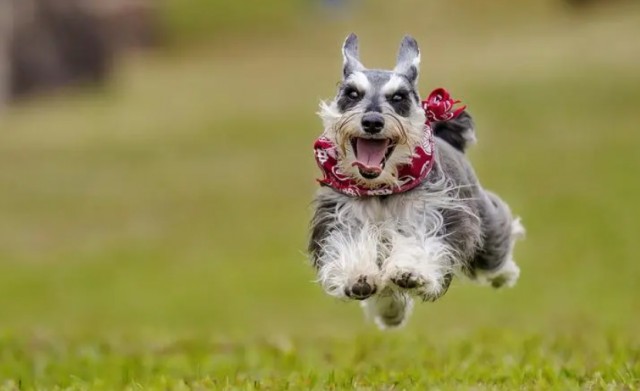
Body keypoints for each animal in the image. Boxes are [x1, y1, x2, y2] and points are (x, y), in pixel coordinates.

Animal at [308, 33, 524, 330]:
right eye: (352, 93)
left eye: (398, 97)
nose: (372, 121)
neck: (382, 188)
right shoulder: (342, 217)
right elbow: (351, 245)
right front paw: (358, 277)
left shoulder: (435, 215)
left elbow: (417, 241)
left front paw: (409, 271)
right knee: (387, 291)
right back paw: (390, 312)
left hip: (485, 227)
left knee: (498, 246)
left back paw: (506, 273)